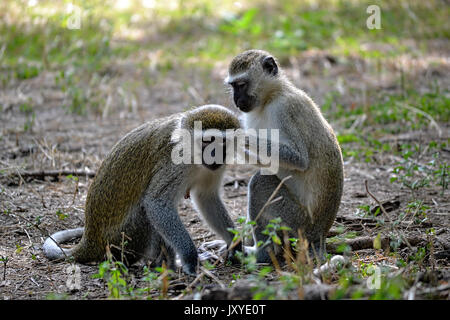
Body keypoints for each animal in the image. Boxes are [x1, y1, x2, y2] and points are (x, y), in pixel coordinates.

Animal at [43, 105, 243, 276]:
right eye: (207, 141)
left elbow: (206, 198)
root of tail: (91, 241)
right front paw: (189, 257)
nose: (214, 155)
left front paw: (235, 244)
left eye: (223, 143)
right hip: (122, 240)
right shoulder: (175, 161)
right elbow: (156, 203)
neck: (193, 155)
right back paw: (165, 266)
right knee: (145, 212)